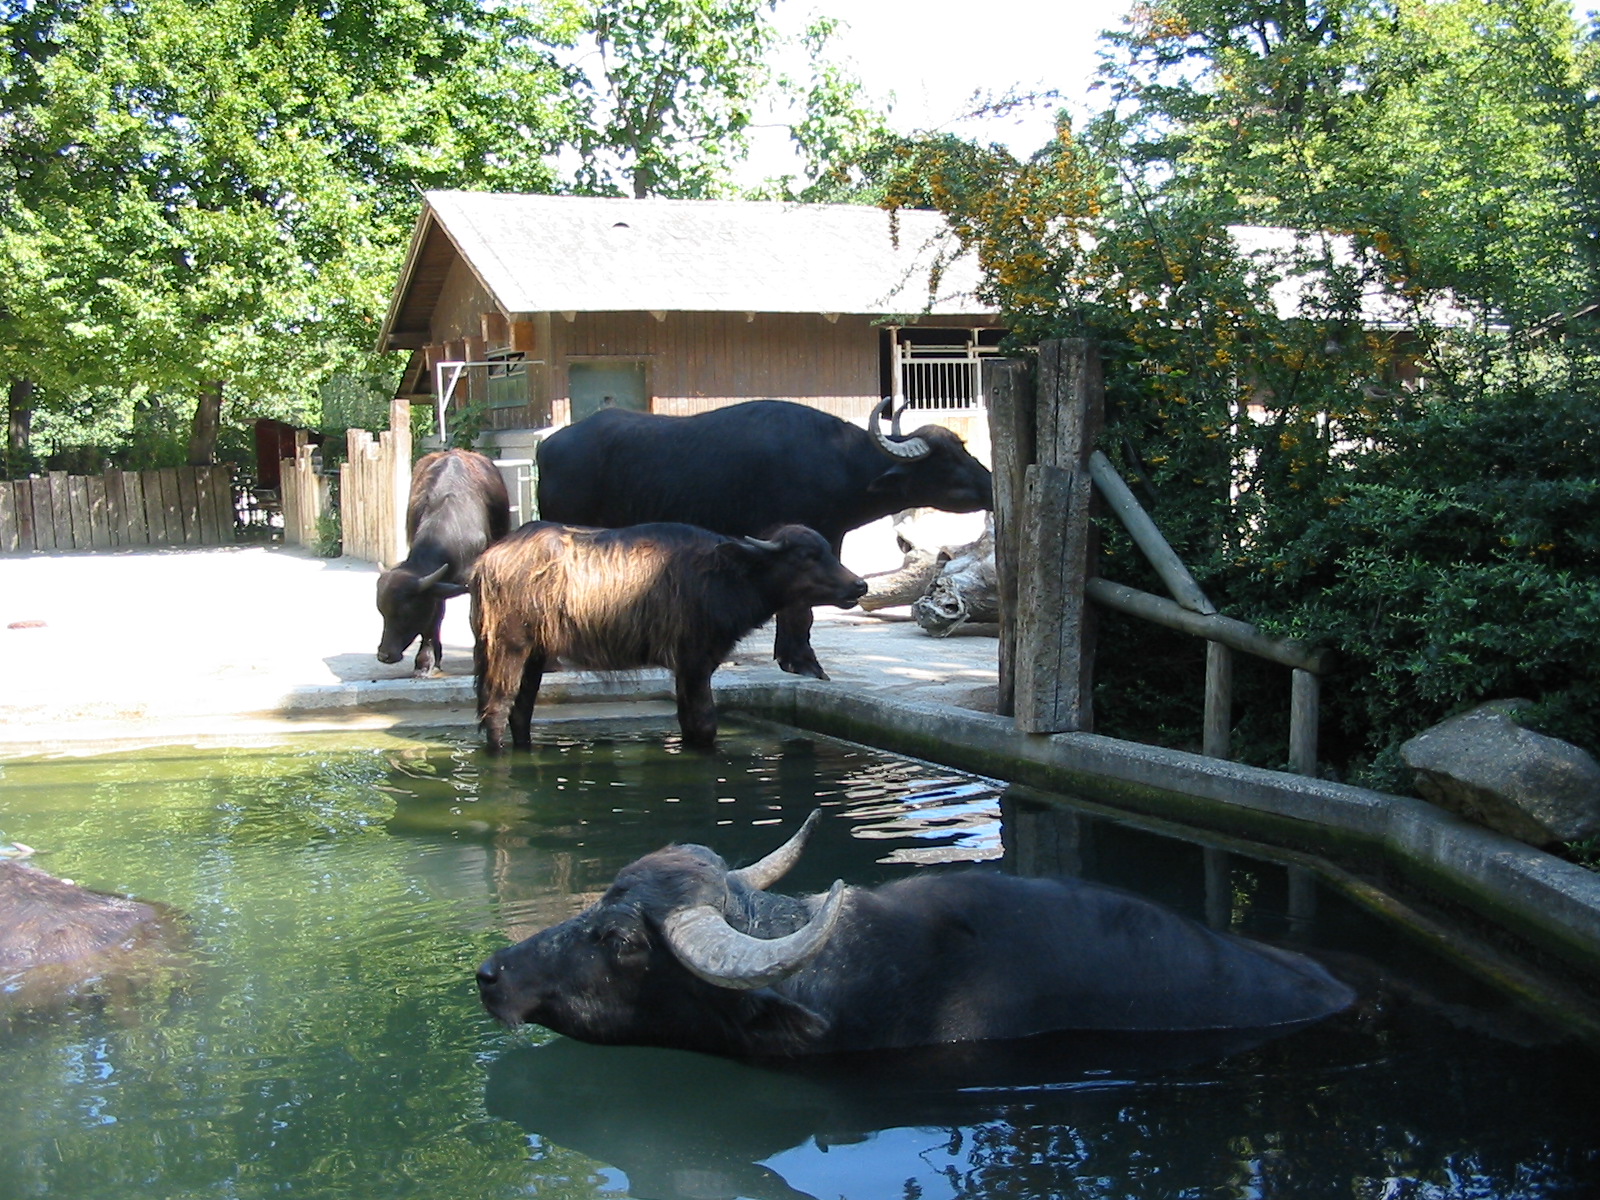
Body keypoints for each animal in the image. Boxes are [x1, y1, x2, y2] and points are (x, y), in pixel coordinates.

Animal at [376, 448, 511, 675]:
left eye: (405, 613)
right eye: (382, 612)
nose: (384, 655)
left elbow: (475, 617)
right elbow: (434, 618)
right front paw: (426, 660)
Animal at [471, 522, 868, 753]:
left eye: (827, 551)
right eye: (807, 556)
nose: (860, 585)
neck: (726, 576)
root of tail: (487, 560)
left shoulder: (686, 668)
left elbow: (688, 722)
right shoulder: (696, 661)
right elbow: (705, 724)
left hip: (534, 654)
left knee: (522, 711)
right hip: (509, 646)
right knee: (498, 708)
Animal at [534, 398, 993, 679]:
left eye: (962, 446)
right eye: (945, 462)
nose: (990, 485)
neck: (839, 462)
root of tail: (549, 447)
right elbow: (799, 608)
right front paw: (803, 662)